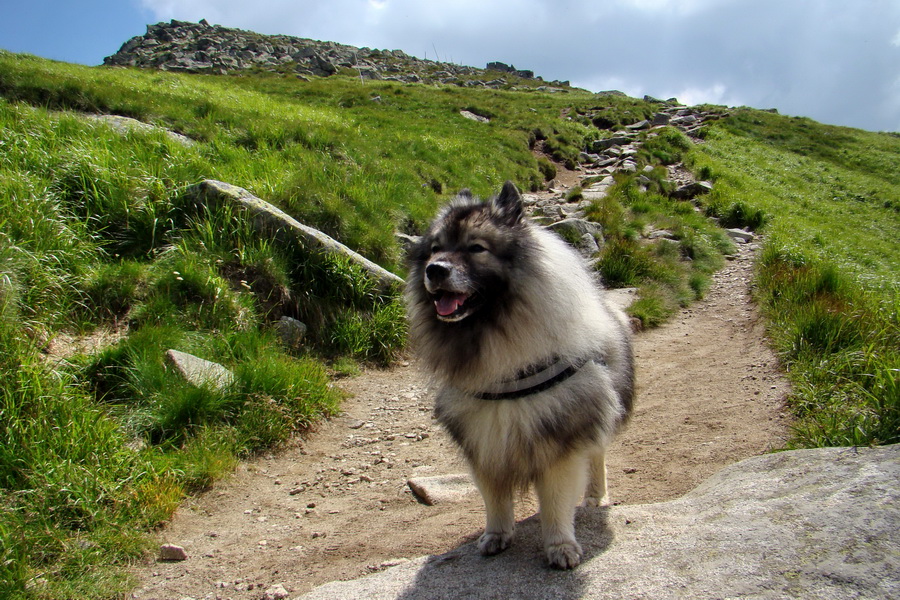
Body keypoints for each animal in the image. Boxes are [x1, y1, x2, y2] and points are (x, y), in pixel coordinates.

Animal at [408, 180, 632, 568]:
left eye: (476, 248)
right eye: (435, 249)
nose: (434, 270)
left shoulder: (560, 443)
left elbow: (556, 505)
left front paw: (560, 547)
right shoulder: (485, 444)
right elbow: (495, 500)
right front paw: (496, 535)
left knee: (598, 455)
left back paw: (595, 496)